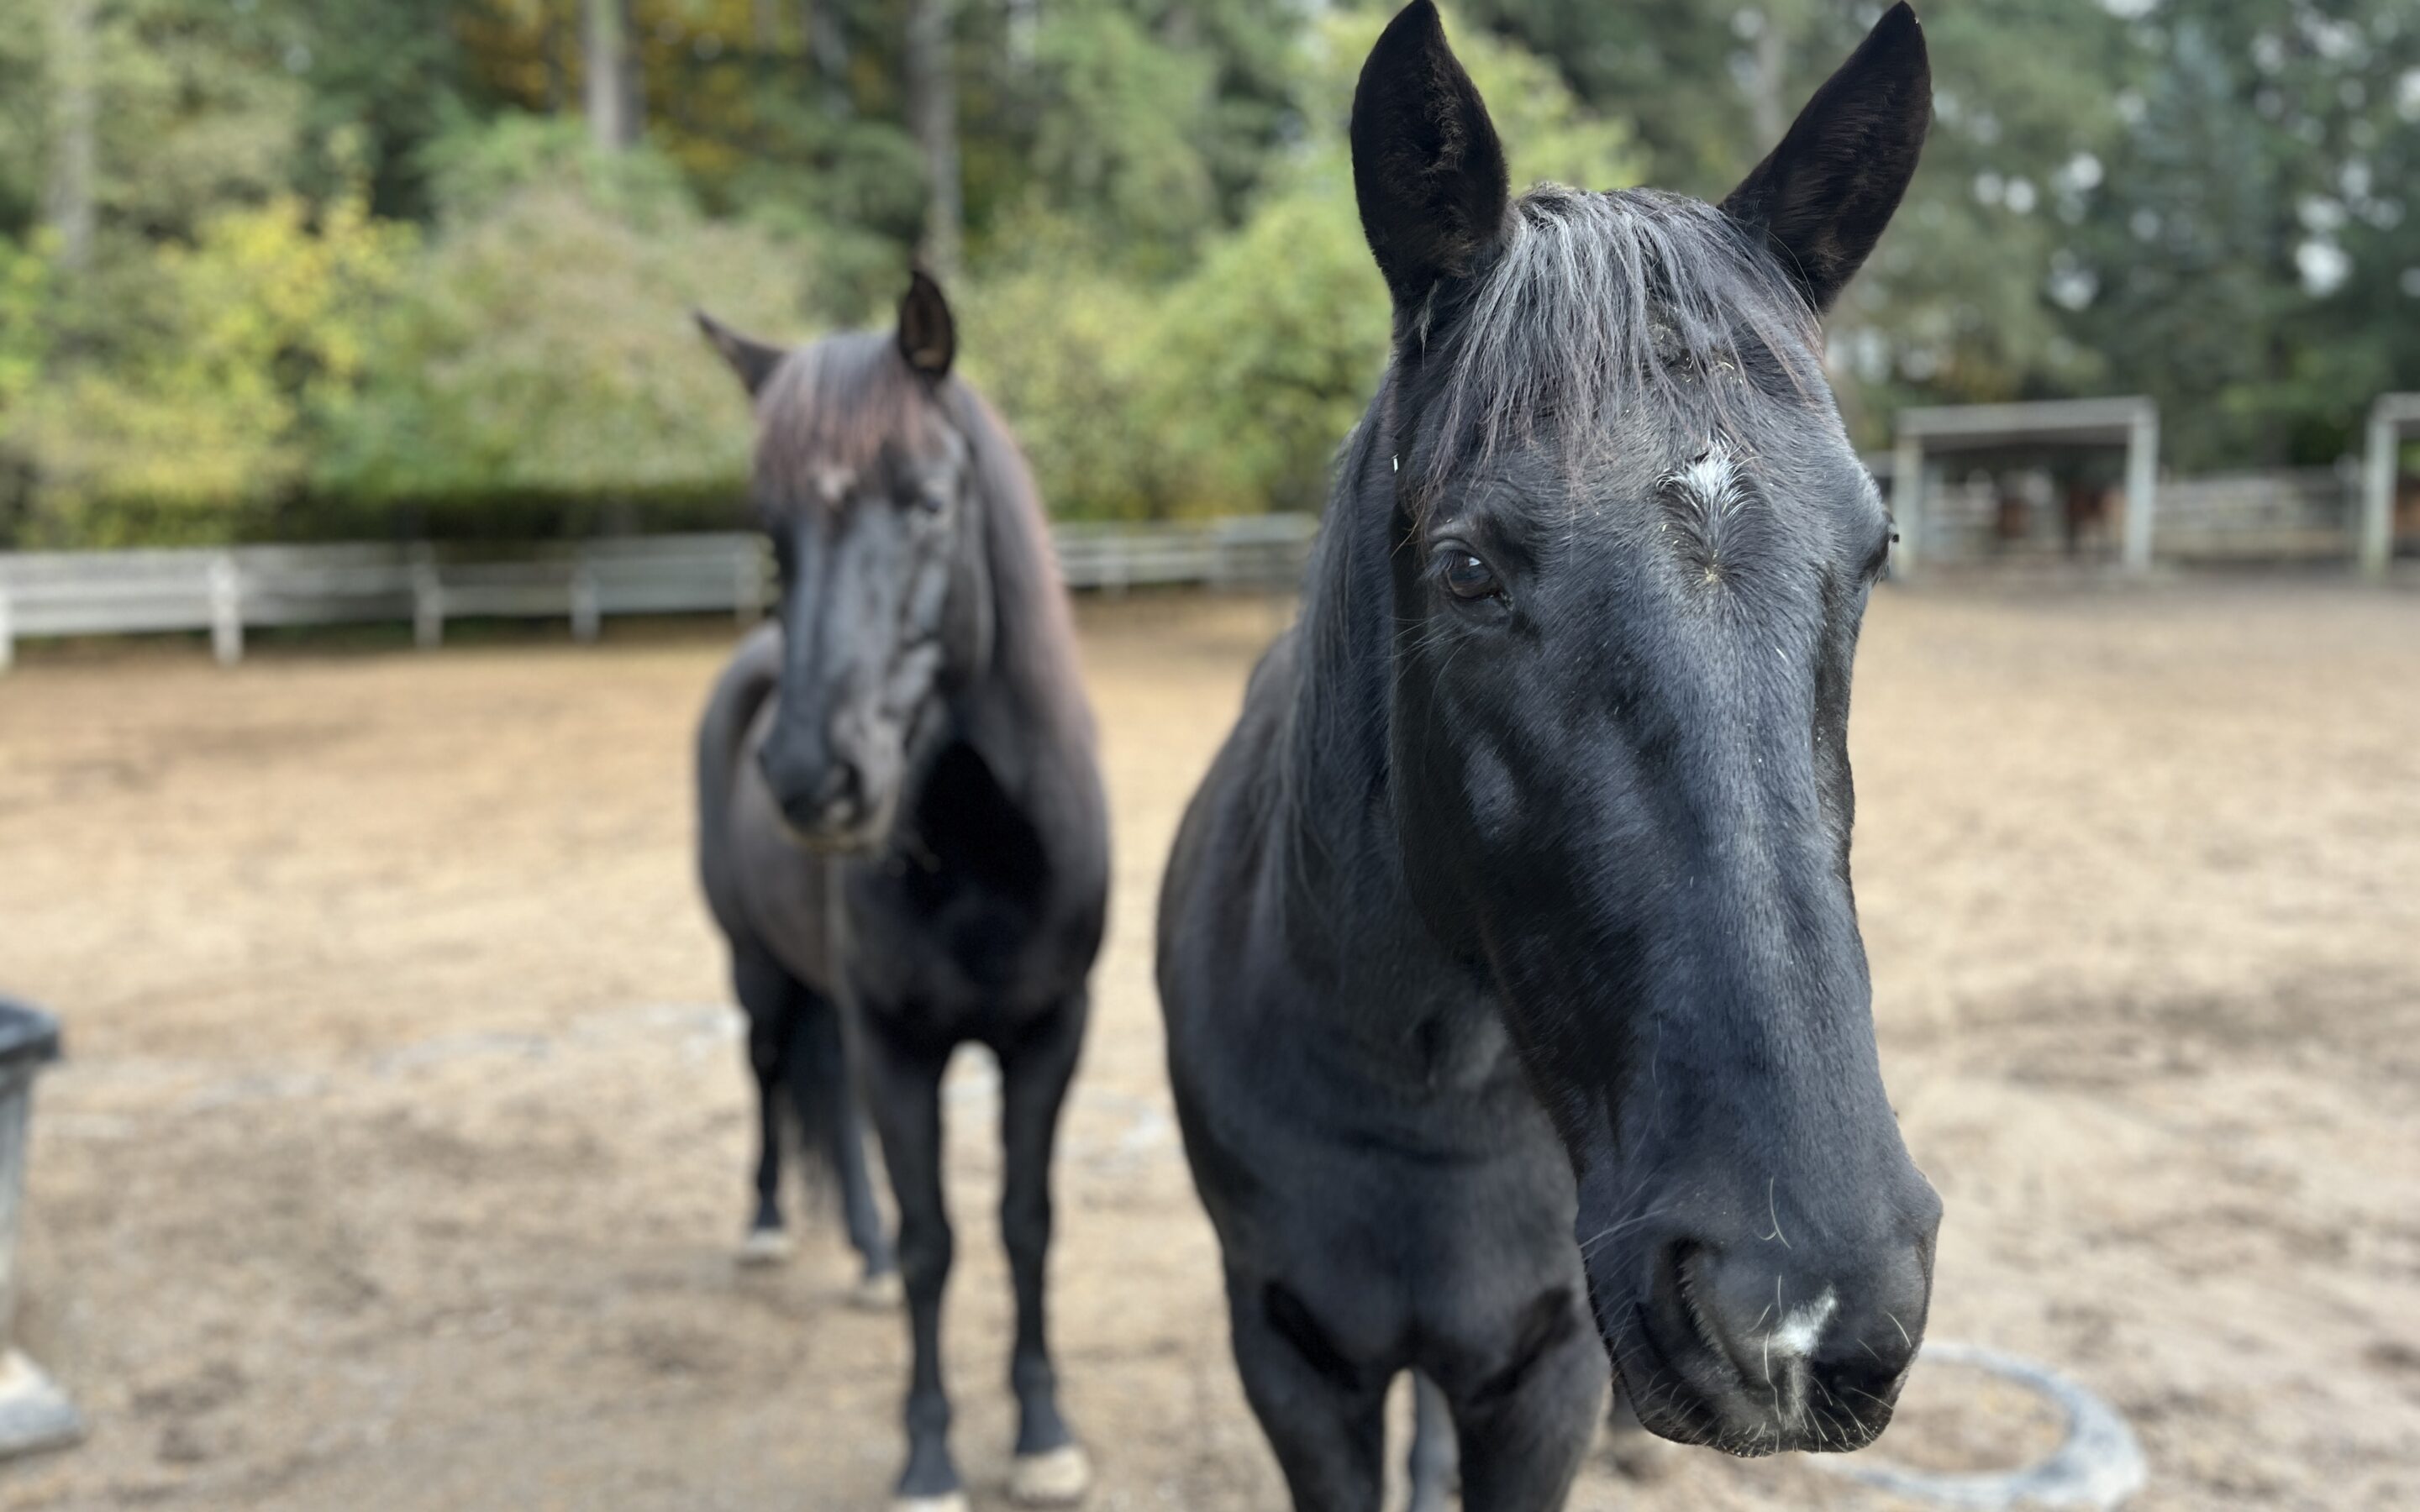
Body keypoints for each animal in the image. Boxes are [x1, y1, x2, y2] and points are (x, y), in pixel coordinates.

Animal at [697, 274, 1108, 1509]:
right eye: (770, 528)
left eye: (928, 501)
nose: (808, 777)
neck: (987, 856)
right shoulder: (899, 1044)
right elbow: (938, 1239)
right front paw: (928, 1455)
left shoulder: (1048, 1037)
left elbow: (1024, 1224)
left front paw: (1042, 1431)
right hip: (759, 973)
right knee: (774, 1074)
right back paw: (771, 1225)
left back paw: (862, 1256)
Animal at [1156, 6, 1945, 1499]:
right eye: (1468, 570)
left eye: (1875, 550)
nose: (1806, 1310)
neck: (1425, 1100)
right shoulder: (1291, 1360)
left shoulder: (1546, 1377)